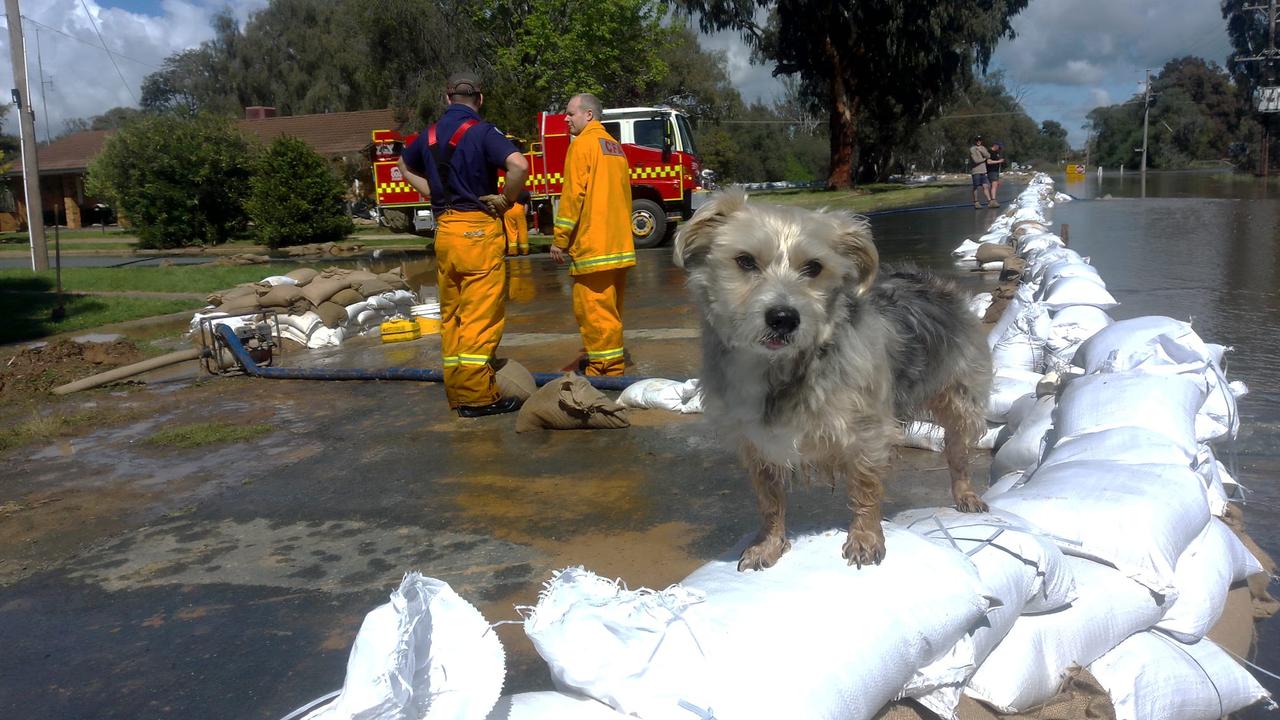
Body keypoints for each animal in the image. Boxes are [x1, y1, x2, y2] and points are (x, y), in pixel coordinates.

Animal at [675, 189, 993, 566]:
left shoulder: (868, 432)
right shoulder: (757, 442)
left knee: (957, 453)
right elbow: (769, 500)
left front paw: (866, 538)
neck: (779, 370)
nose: (784, 318)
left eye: (813, 267)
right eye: (745, 261)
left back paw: (965, 494)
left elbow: (866, 488)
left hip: (961, 401)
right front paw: (769, 544)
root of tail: (925, 278)